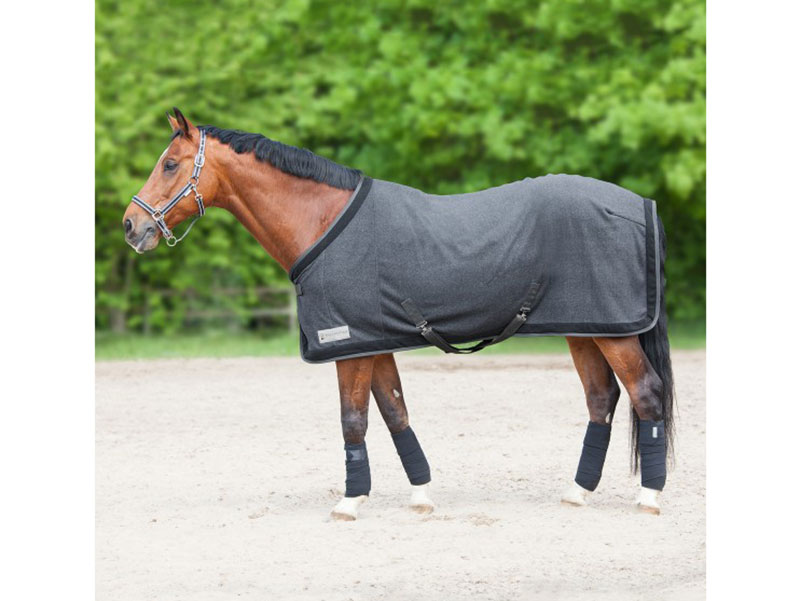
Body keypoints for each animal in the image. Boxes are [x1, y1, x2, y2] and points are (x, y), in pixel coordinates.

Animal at [122, 108, 675, 520]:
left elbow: (353, 420)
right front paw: (421, 496)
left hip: (614, 333)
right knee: (602, 398)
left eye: (170, 164)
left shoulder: (347, 346)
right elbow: (393, 412)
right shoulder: (373, 340)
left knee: (645, 392)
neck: (321, 220)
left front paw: (349, 502)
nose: (130, 226)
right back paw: (577, 492)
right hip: (585, 329)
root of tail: (638, 206)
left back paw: (649, 497)